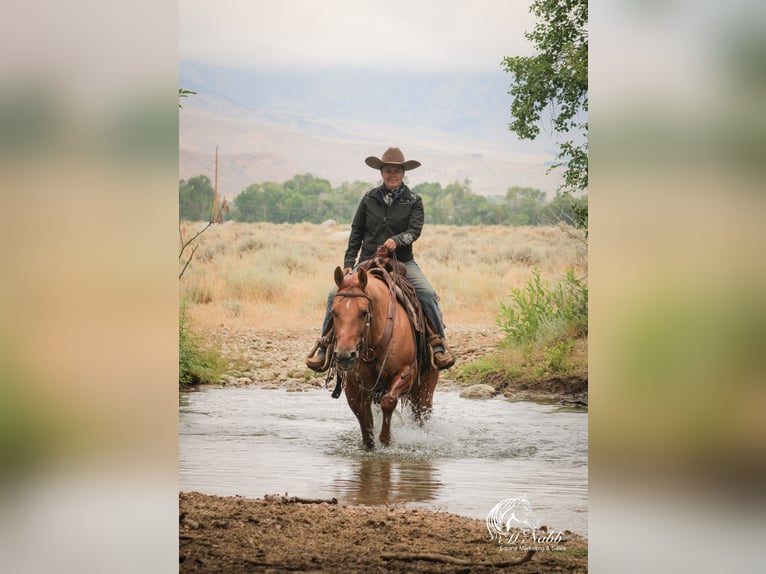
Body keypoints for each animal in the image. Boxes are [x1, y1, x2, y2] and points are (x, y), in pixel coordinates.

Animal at [328, 264, 438, 450]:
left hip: (424, 391)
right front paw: (371, 445)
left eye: (364, 312)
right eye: (333, 311)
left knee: (421, 416)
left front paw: (386, 440)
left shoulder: (406, 373)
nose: (344, 356)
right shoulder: (354, 387)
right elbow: (365, 422)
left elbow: (389, 401)